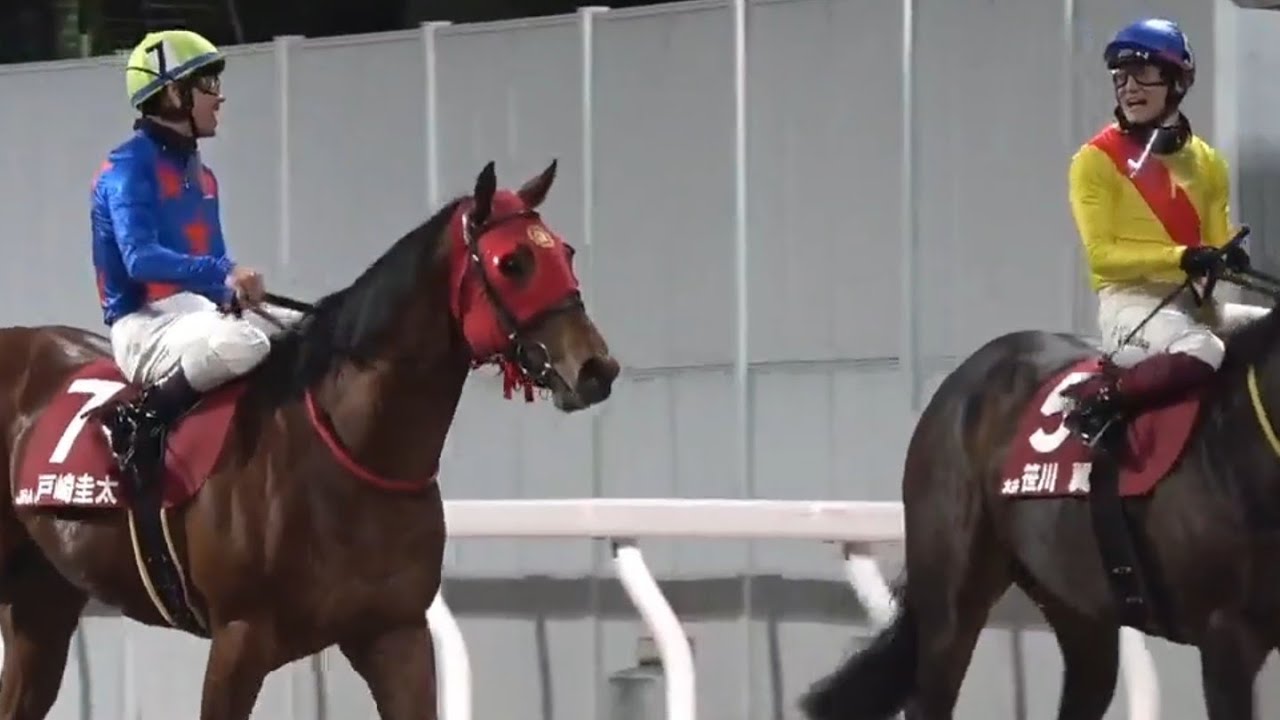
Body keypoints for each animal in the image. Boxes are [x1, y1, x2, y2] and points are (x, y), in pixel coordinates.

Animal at [0, 160, 619, 719]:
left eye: (566, 253)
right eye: (511, 262)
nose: (597, 369)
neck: (349, 454)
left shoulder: (395, 633)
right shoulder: (239, 639)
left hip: (42, 601)